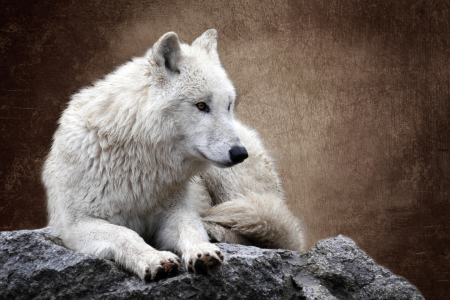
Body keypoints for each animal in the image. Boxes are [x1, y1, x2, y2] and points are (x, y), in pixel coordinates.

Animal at [42, 29, 248, 280]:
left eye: (228, 105)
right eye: (201, 106)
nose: (240, 153)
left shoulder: (174, 209)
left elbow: (189, 226)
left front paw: (202, 251)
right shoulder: (76, 225)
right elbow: (125, 234)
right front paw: (154, 259)